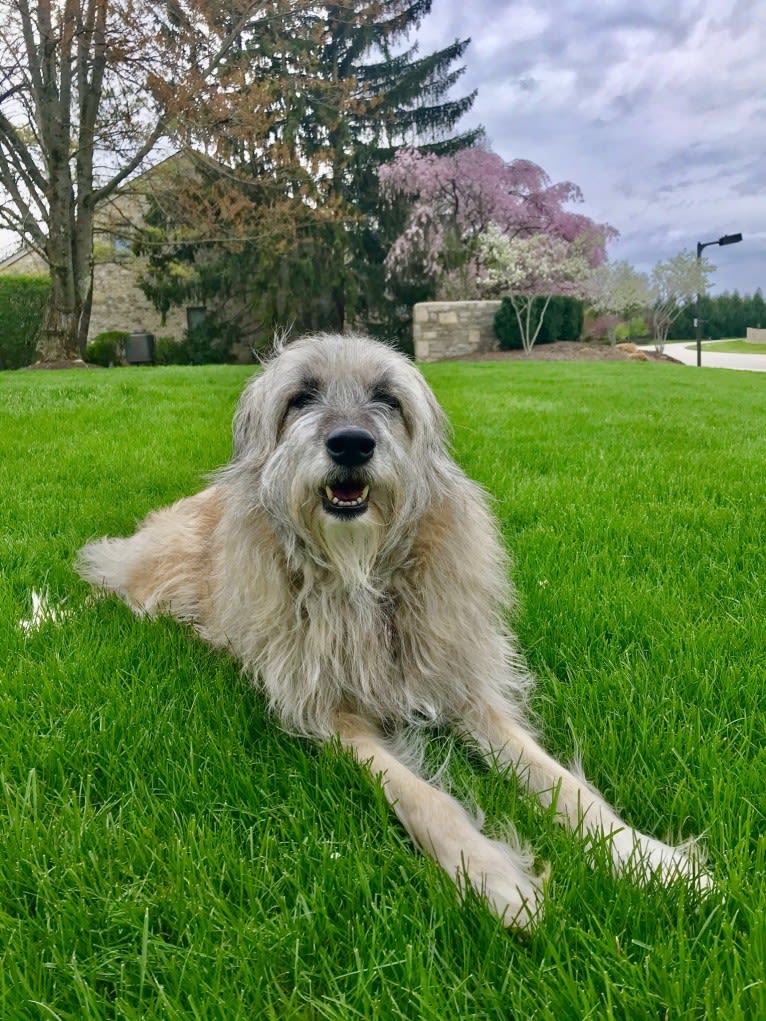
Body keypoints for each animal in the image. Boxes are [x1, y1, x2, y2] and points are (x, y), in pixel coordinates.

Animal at [75, 330, 710, 931]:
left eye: (387, 398)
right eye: (300, 397)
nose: (352, 443)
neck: (363, 575)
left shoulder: (468, 690)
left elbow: (560, 781)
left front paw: (646, 856)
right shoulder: (329, 713)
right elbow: (424, 796)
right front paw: (490, 873)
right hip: (157, 578)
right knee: (107, 581)